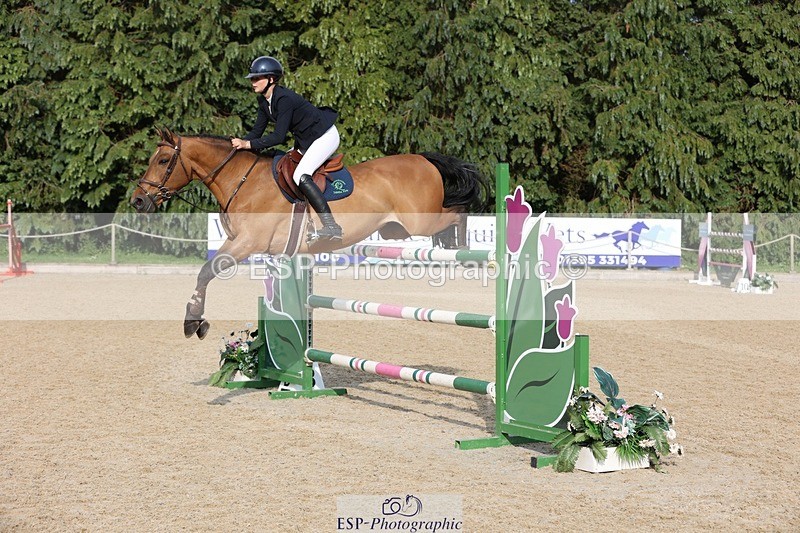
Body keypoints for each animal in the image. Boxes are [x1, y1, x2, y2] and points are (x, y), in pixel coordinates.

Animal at [131, 128, 487, 340]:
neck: (242, 181)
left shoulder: (246, 243)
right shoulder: (245, 244)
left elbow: (206, 271)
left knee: (459, 211)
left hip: (419, 222)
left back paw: (463, 250)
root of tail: (424, 159)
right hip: (394, 231)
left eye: (163, 160)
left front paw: (194, 322)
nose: (137, 201)